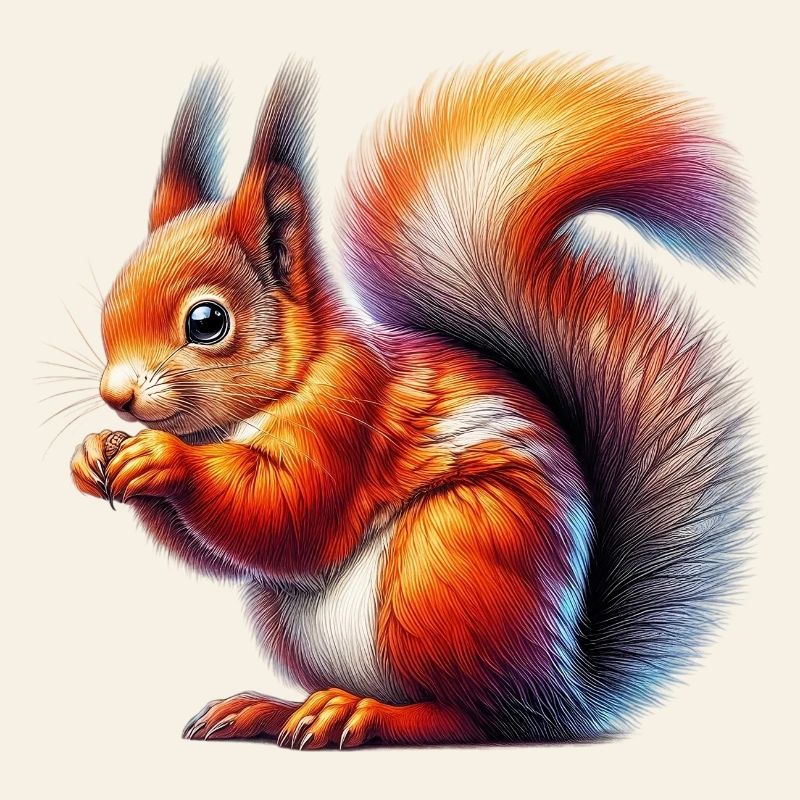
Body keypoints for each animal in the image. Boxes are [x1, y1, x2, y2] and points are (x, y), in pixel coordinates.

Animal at [70, 56, 754, 747]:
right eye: (110, 304)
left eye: (207, 321)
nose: (116, 396)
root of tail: (565, 686)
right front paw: (95, 451)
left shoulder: (350, 413)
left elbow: (288, 510)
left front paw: (163, 458)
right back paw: (274, 708)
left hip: (447, 561)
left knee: (477, 717)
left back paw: (362, 713)